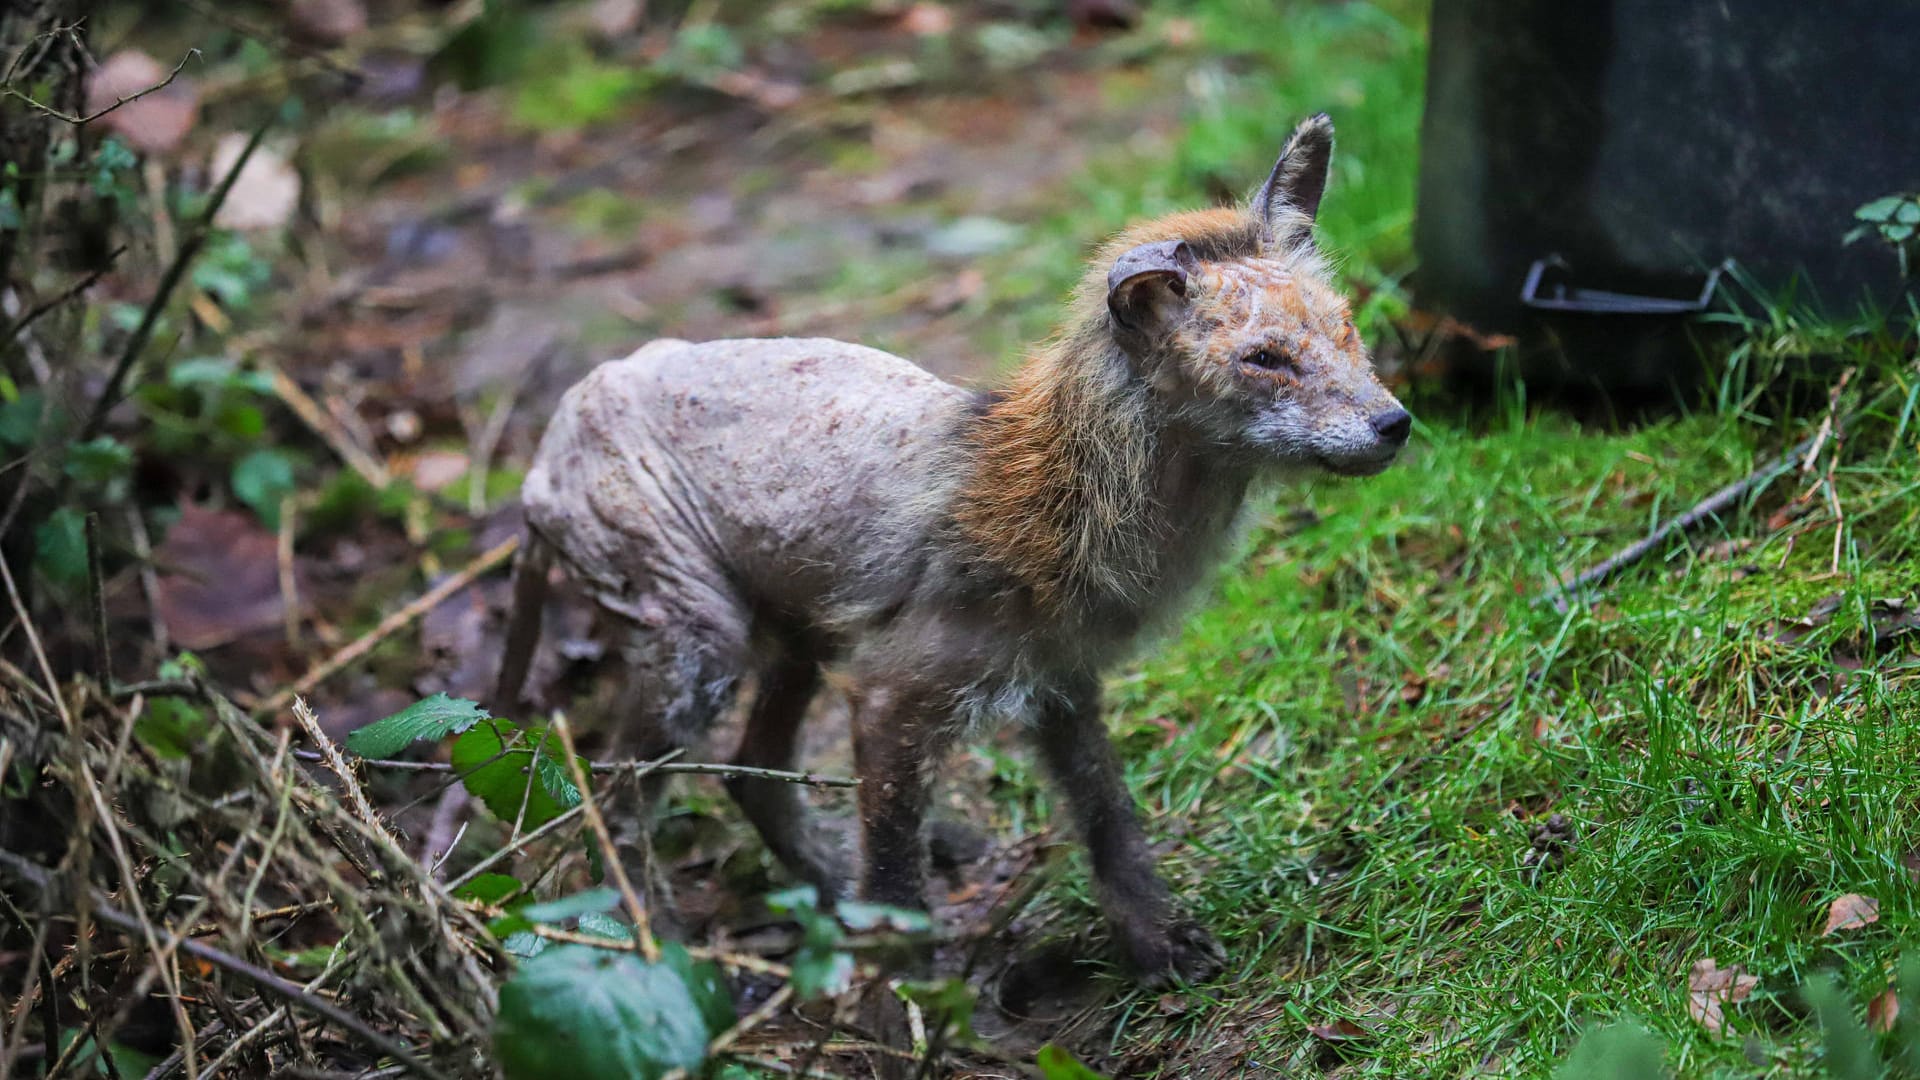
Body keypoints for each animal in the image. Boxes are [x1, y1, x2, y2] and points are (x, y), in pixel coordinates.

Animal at [495, 113, 1413, 980]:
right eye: (1266, 359)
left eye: (1346, 331)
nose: (1395, 423)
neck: (1060, 512)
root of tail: (553, 435)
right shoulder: (892, 702)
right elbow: (902, 892)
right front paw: (900, 1009)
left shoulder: (1061, 683)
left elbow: (1111, 823)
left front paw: (1155, 940)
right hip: (703, 654)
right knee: (610, 807)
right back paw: (659, 959)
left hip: (801, 641)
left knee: (749, 776)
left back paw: (827, 896)